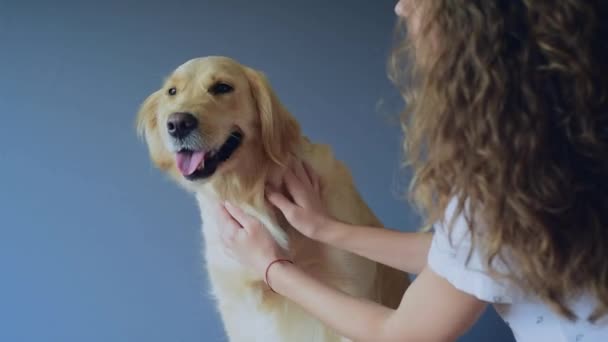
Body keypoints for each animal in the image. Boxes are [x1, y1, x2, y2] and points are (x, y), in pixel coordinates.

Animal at [136, 56, 410, 342]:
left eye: (222, 87)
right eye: (172, 92)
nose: (177, 123)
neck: (251, 192)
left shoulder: (350, 288)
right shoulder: (239, 312)